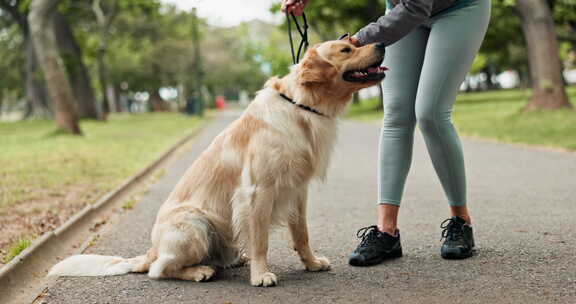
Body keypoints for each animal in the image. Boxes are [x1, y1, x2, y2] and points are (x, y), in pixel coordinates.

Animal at [49, 36, 388, 286]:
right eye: (346, 49)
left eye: (353, 42)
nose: (382, 44)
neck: (300, 106)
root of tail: (153, 248)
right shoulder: (256, 191)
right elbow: (261, 239)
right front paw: (261, 275)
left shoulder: (297, 191)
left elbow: (301, 234)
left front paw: (312, 262)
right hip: (195, 225)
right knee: (160, 269)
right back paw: (200, 271)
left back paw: (232, 260)